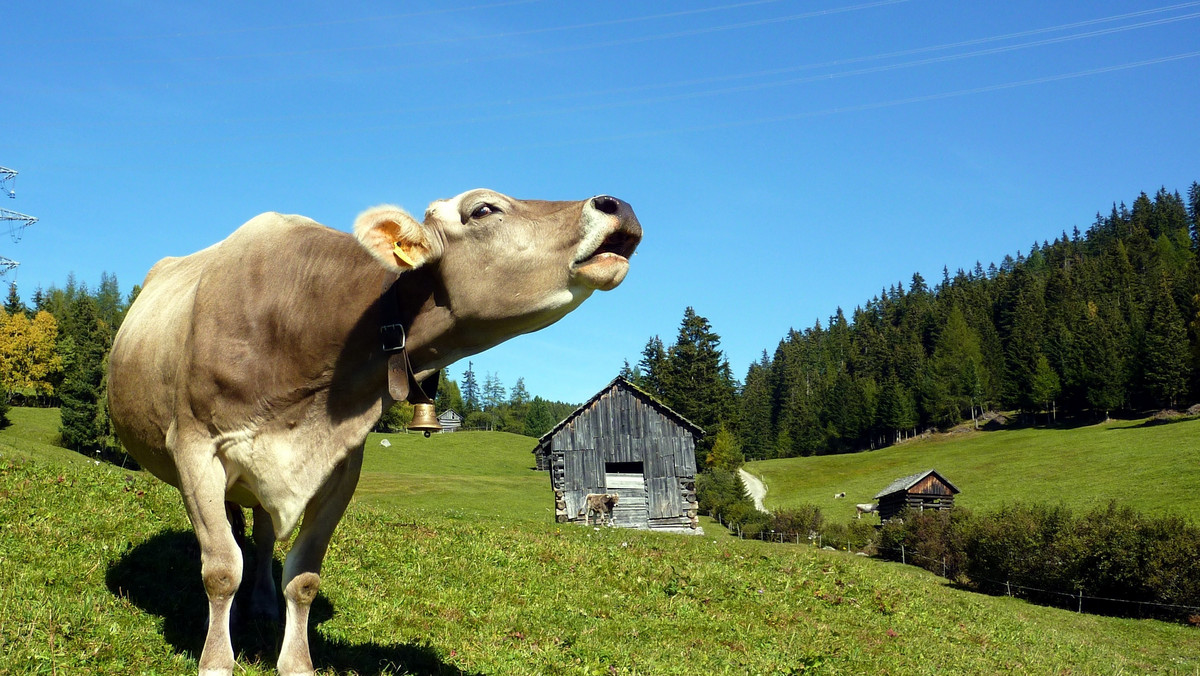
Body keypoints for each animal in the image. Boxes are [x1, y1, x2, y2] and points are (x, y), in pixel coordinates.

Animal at [108, 187, 643, 672]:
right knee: (237, 537)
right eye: (483, 209)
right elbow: (220, 568)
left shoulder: (341, 466)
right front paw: (216, 662)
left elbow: (303, 577)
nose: (618, 204)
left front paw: (296, 663)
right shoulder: (195, 447)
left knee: (259, 537)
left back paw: (260, 604)